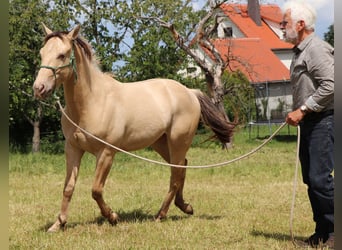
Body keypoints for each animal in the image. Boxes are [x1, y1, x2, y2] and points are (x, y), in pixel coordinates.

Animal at [32, 23, 235, 232]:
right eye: (41, 53)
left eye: (62, 55)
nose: (38, 88)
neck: (92, 102)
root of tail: (190, 92)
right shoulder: (73, 148)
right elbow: (68, 187)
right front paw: (58, 224)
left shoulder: (106, 153)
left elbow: (96, 190)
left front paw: (113, 217)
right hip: (160, 143)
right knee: (181, 168)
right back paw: (184, 206)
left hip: (178, 142)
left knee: (176, 174)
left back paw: (161, 214)